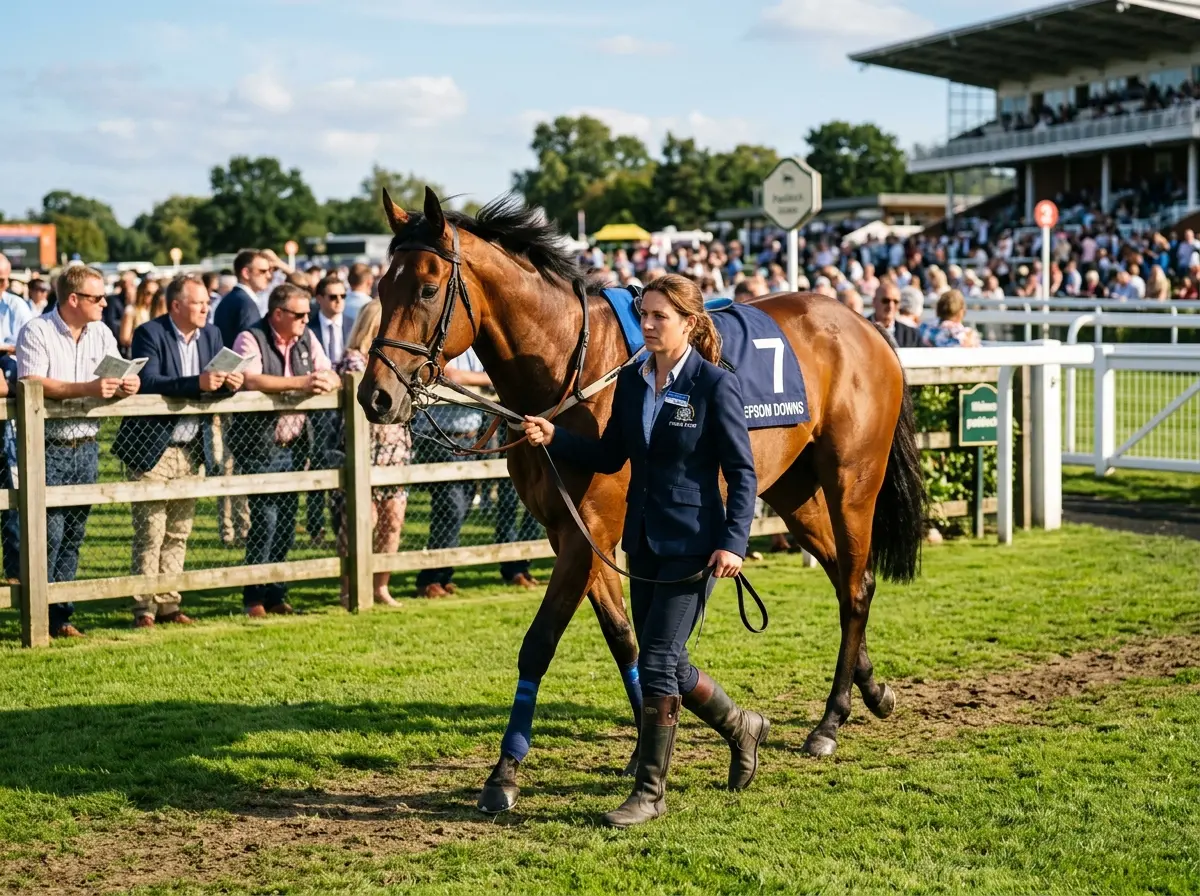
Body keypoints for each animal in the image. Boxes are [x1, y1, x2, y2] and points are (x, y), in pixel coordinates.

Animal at [360, 187, 926, 814]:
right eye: (381, 287)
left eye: (428, 288)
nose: (375, 397)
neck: (571, 368)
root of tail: (865, 324)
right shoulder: (579, 535)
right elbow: (627, 639)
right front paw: (645, 745)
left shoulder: (585, 540)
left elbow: (539, 645)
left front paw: (504, 774)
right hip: (792, 491)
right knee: (848, 579)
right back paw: (872, 690)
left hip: (852, 482)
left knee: (855, 583)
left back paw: (830, 720)